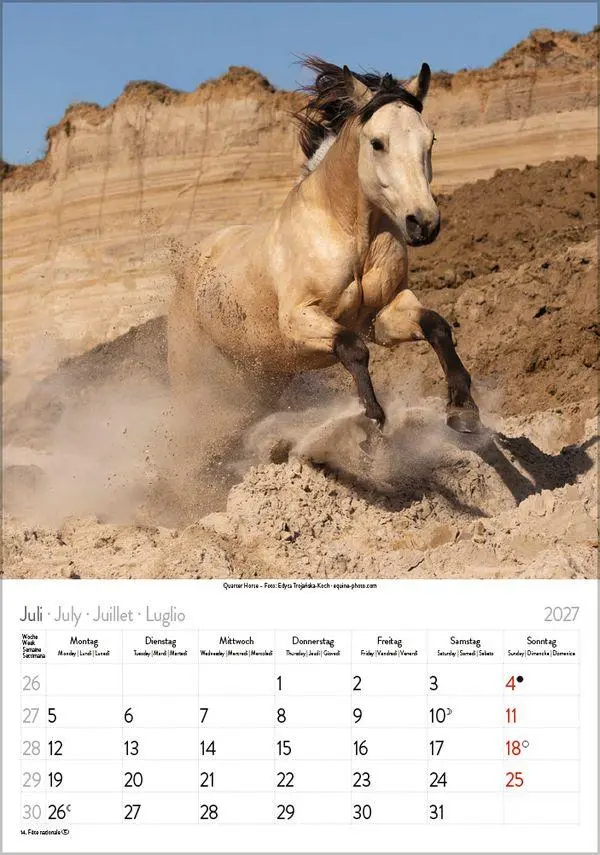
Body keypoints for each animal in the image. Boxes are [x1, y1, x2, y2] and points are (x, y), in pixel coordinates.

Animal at [167, 58, 481, 489]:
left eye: (429, 139)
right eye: (377, 142)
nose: (424, 223)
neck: (348, 233)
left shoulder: (383, 315)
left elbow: (436, 326)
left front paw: (464, 411)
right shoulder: (299, 319)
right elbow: (353, 348)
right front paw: (371, 422)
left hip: (256, 383)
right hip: (199, 378)